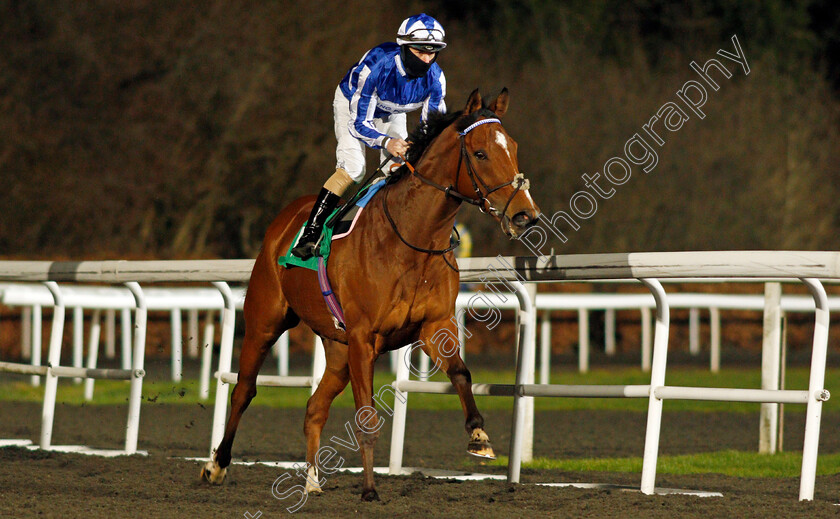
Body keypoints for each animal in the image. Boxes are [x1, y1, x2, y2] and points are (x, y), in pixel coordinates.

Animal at [203, 87, 540, 502]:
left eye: (513, 147)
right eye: (480, 153)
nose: (526, 215)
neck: (412, 239)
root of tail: (285, 218)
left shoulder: (434, 326)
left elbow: (461, 372)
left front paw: (479, 436)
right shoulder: (365, 338)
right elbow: (366, 417)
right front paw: (368, 489)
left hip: (338, 349)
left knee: (314, 408)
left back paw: (312, 480)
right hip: (265, 322)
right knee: (244, 390)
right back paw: (217, 466)